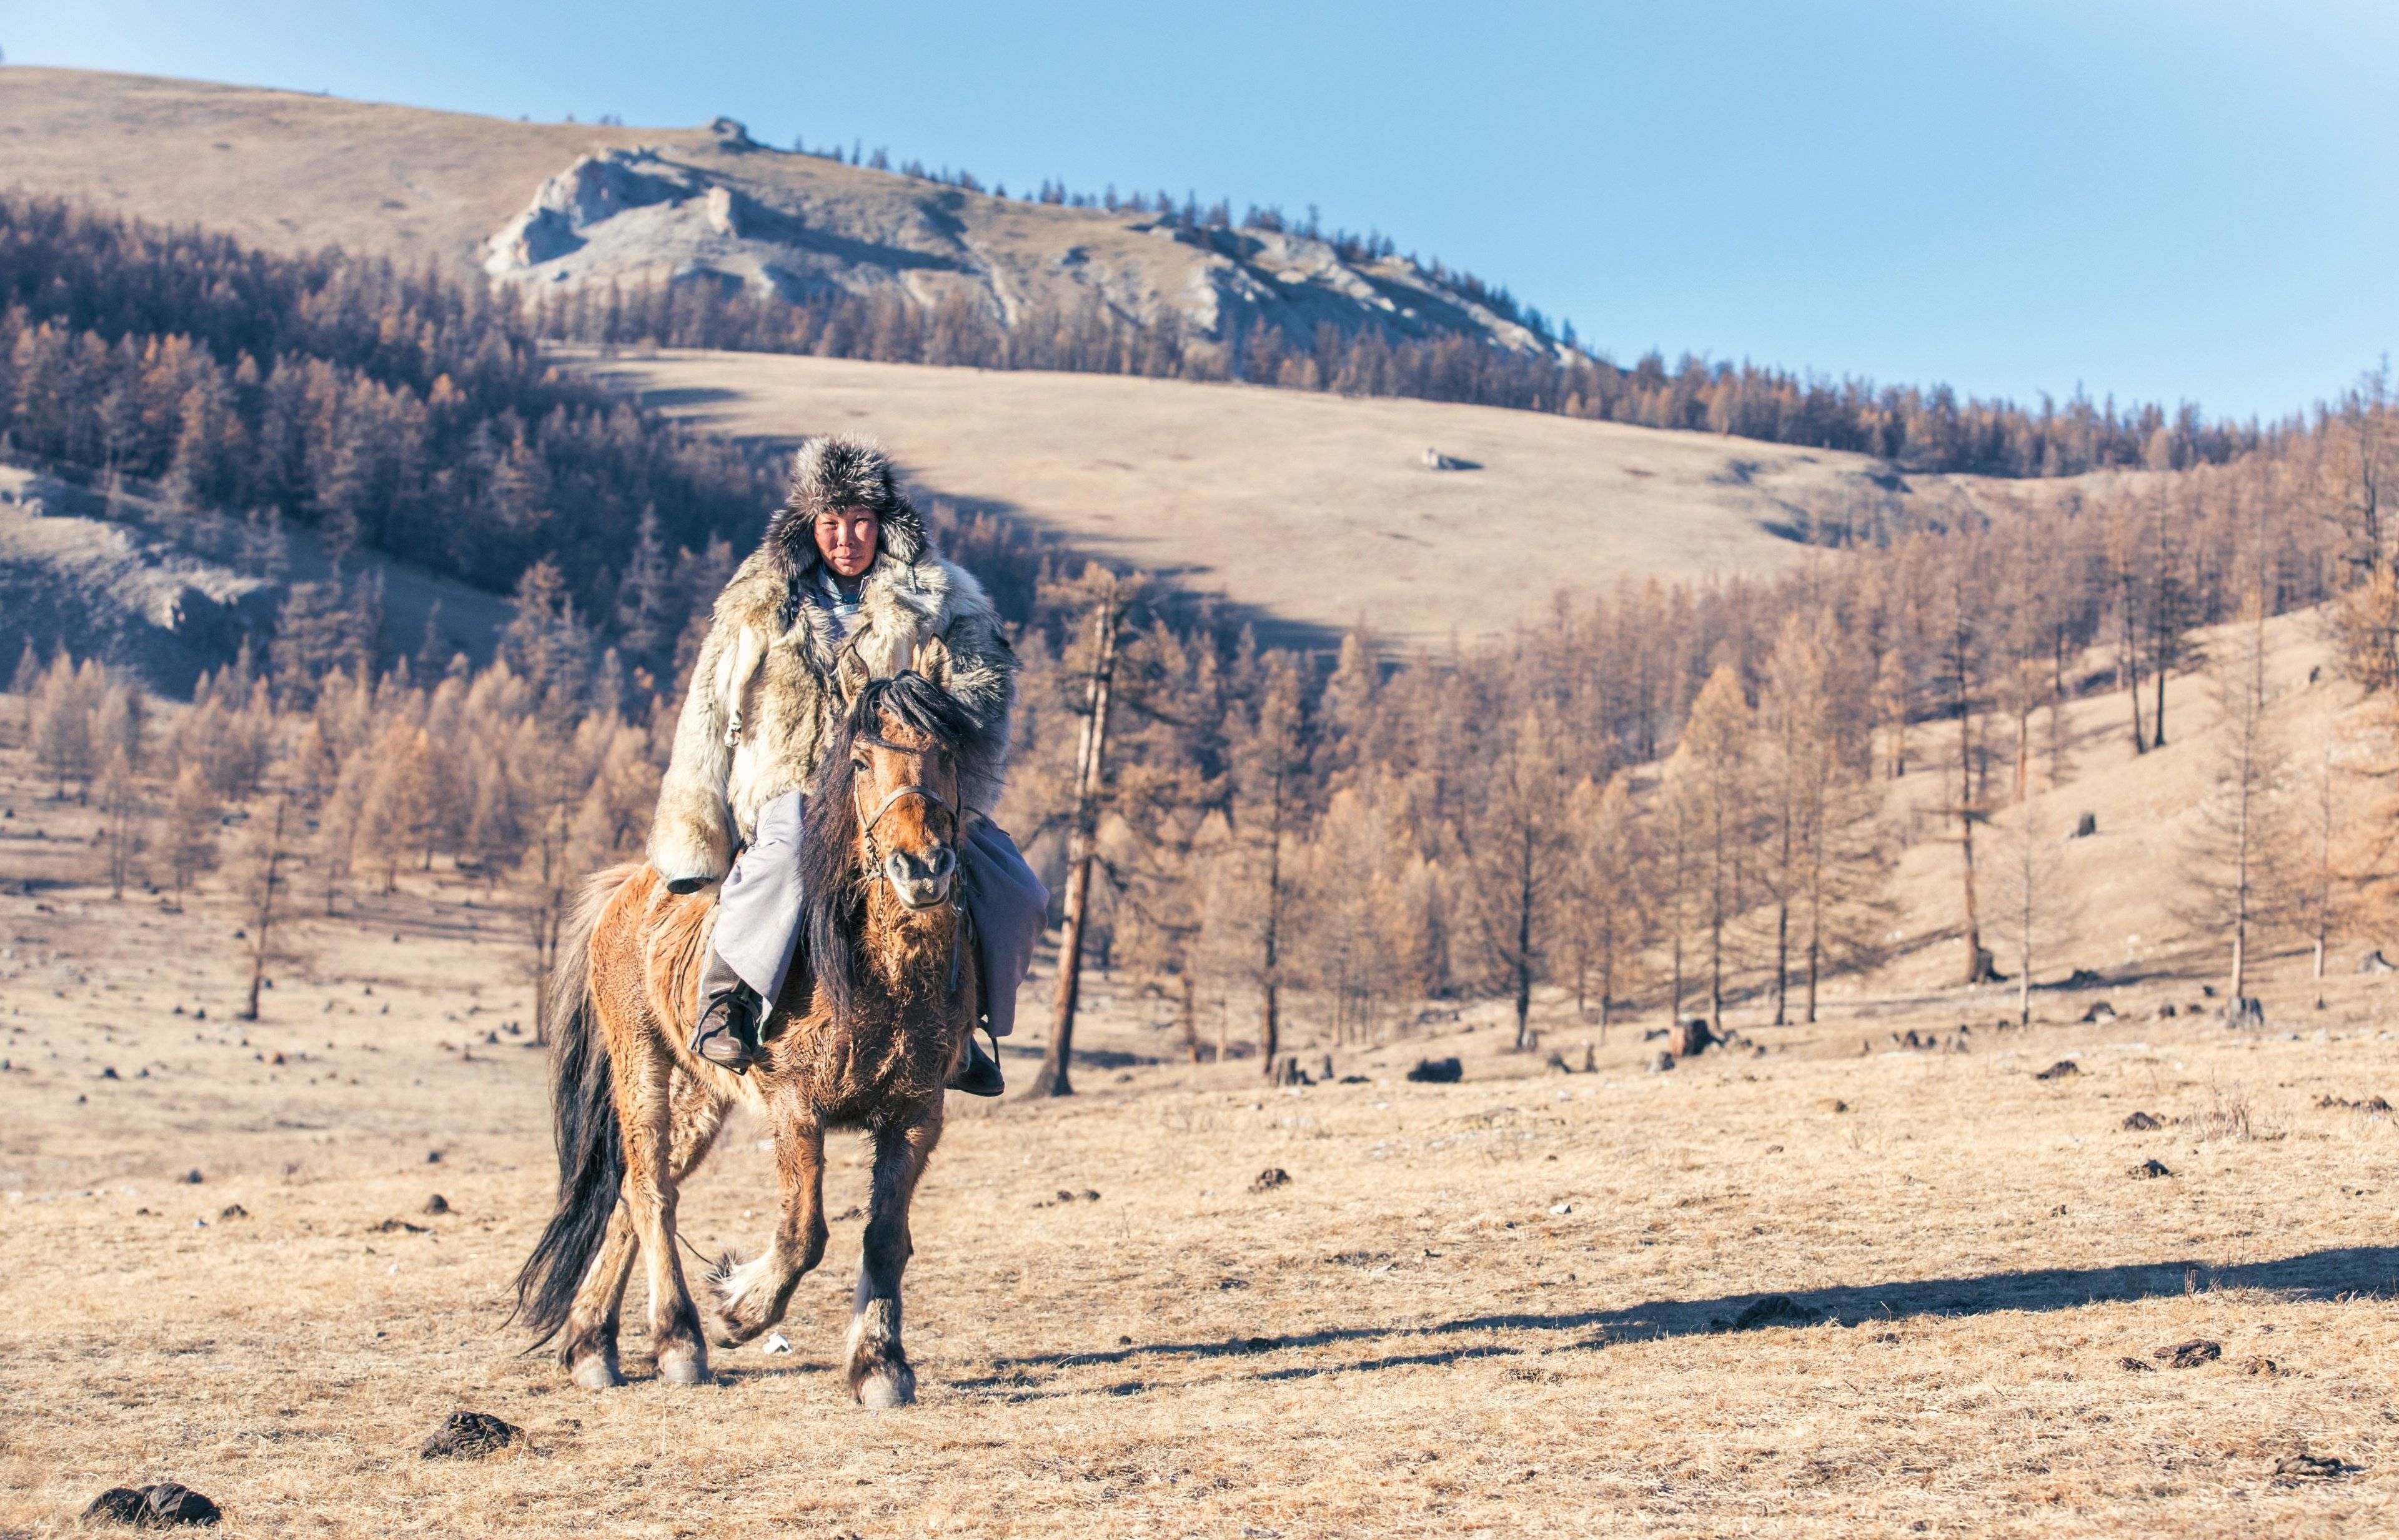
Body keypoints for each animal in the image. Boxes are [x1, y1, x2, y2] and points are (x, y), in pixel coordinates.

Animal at [513, 667, 983, 1401]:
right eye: (859, 761)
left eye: (949, 755)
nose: (922, 868)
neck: (879, 975)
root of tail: (631, 885)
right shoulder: (796, 1105)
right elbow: (803, 1232)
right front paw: (740, 1309)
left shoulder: (917, 1112)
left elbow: (884, 1235)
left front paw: (881, 1364)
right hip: (640, 1059)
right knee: (652, 1190)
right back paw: (679, 1340)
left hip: (703, 1093)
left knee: (636, 1191)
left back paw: (591, 1343)